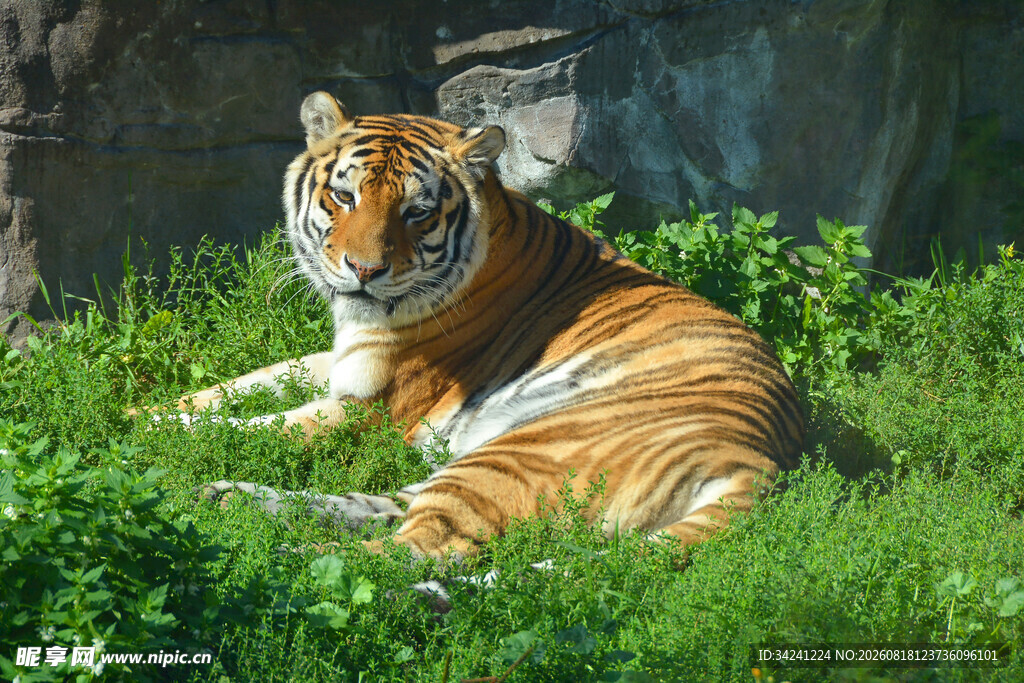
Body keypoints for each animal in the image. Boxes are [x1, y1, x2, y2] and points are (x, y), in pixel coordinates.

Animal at [175, 91, 804, 562]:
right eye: (344, 195)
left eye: (417, 213)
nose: (364, 271)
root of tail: (761, 462)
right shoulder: (339, 358)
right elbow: (234, 389)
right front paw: (161, 412)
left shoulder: (369, 407)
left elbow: (250, 426)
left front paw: (155, 441)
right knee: (382, 509)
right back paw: (225, 499)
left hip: (517, 452)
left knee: (414, 550)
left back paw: (271, 559)